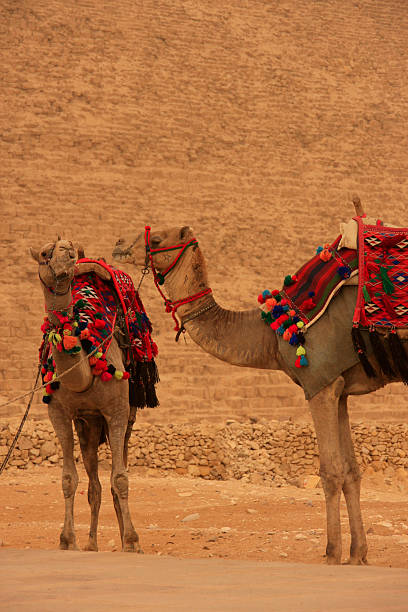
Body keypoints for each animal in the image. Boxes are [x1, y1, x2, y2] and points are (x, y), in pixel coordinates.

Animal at [30, 240, 140, 556]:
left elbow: (121, 478)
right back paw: (91, 542)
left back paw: (123, 535)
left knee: (118, 469)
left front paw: (132, 541)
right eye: (45, 253)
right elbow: (69, 479)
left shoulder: (117, 410)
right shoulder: (58, 412)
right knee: (94, 483)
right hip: (88, 425)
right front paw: (68, 539)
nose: (67, 257)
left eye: (70, 252)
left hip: (126, 417)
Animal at [112, 224, 404, 564]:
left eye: (157, 239)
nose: (119, 245)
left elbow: (331, 472)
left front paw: (332, 554)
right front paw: (358, 555)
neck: (271, 333)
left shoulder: (320, 385)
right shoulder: (338, 389)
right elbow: (351, 472)